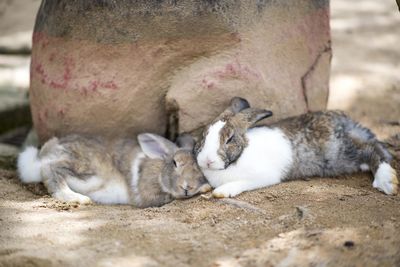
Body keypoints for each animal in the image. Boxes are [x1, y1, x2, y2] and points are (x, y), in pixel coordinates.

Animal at [18, 133, 212, 208]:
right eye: (175, 163)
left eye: (202, 171)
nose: (186, 187)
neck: (159, 172)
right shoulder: (149, 194)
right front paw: (205, 189)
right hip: (88, 172)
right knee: (51, 169)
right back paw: (78, 198)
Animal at [195, 97, 398, 198]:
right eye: (204, 135)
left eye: (229, 139)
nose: (206, 160)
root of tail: (345, 122)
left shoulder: (264, 177)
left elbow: (240, 183)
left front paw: (221, 192)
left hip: (341, 152)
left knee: (374, 148)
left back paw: (387, 182)